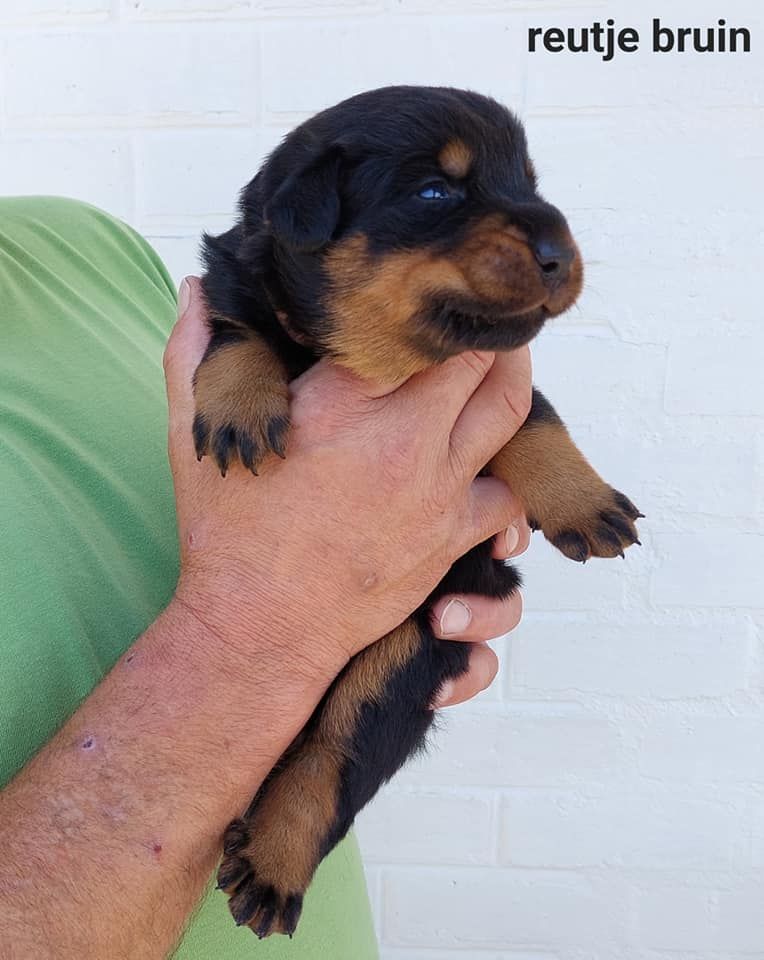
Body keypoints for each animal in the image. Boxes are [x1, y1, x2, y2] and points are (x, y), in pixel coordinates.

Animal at [193, 85, 642, 938]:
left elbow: (536, 417)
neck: (376, 362)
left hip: (403, 656)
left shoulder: (497, 379)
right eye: (436, 192)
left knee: (330, 761)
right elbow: (236, 333)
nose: (559, 250)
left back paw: (272, 866)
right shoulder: (231, 288)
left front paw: (586, 501)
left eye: (530, 182)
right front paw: (239, 405)